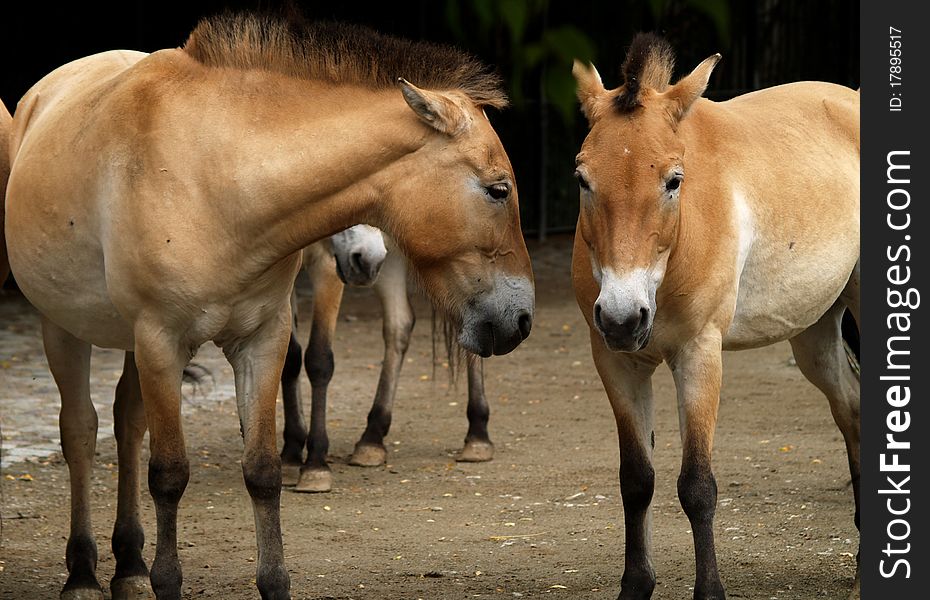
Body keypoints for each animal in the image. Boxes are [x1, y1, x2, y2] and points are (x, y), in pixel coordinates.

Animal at [280, 231, 492, 492]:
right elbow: (290, 358)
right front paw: (290, 454)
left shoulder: (327, 264)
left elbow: (318, 359)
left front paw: (315, 465)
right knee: (399, 324)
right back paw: (372, 438)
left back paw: (478, 435)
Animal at [568, 34, 860, 600]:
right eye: (582, 178)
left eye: (674, 180)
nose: (622, 318)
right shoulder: (616, 362)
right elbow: (636, 480)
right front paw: (635, 586)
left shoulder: (699, 354)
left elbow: (697, 485)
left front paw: (710, 591)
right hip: (815, 335)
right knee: (853, 409)